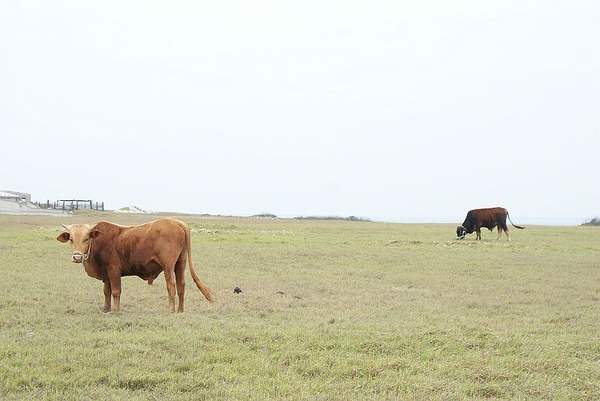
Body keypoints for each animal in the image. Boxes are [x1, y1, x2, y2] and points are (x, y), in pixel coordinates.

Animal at [58, 216, 213, 312]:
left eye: (86, 238)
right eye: (71, 239)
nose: (77, 257)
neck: (100, 241)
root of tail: (178, 223)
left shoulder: (114, 270)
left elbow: (116, 291)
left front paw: (115, 310)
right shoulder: (107, 274)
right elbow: (106, 292)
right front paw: (106, 309)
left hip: (168, 267)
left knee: (171, 286)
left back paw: (171, 310)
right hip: (180, 264)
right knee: (181, 285)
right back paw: (180, 310)